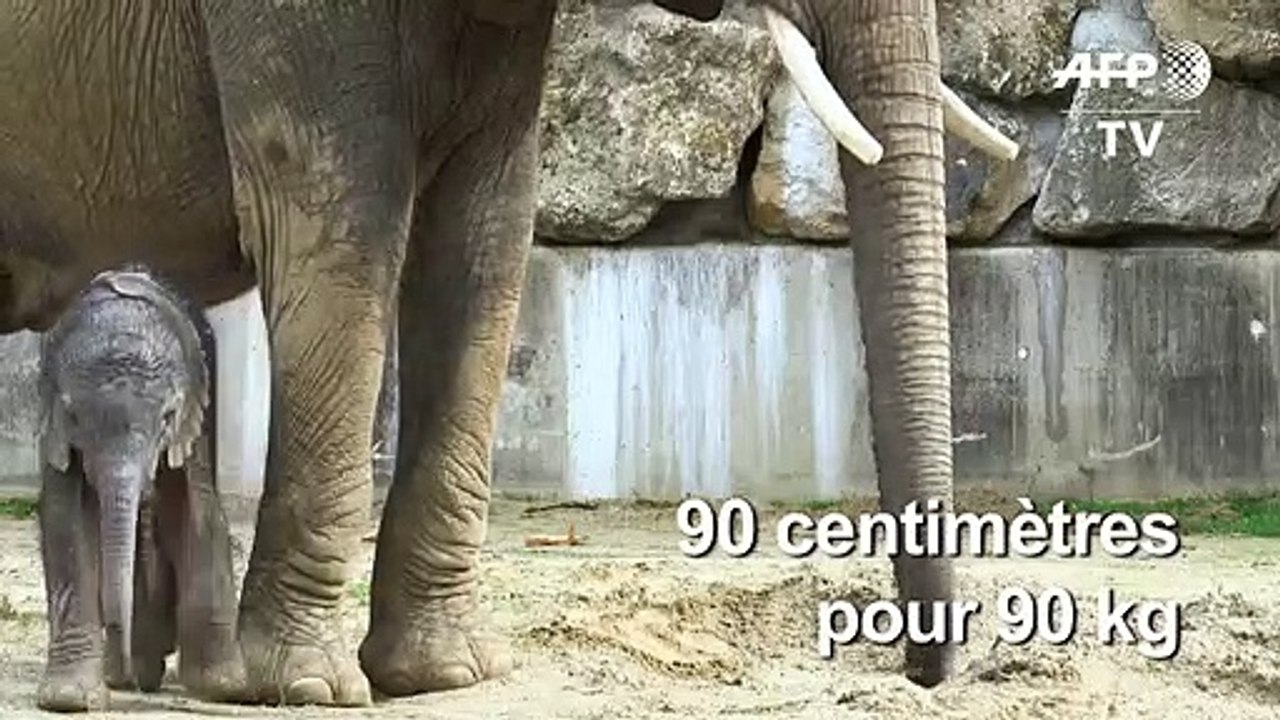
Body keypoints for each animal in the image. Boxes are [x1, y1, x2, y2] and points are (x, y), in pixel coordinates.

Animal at [36, 266, 244, 710]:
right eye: (74, 418)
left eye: (167, 416)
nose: (130, 678)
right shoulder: (52, 422)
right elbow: (65, 518)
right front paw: (70, 698)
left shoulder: (195, 413)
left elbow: (195, 510)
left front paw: (225, 687)